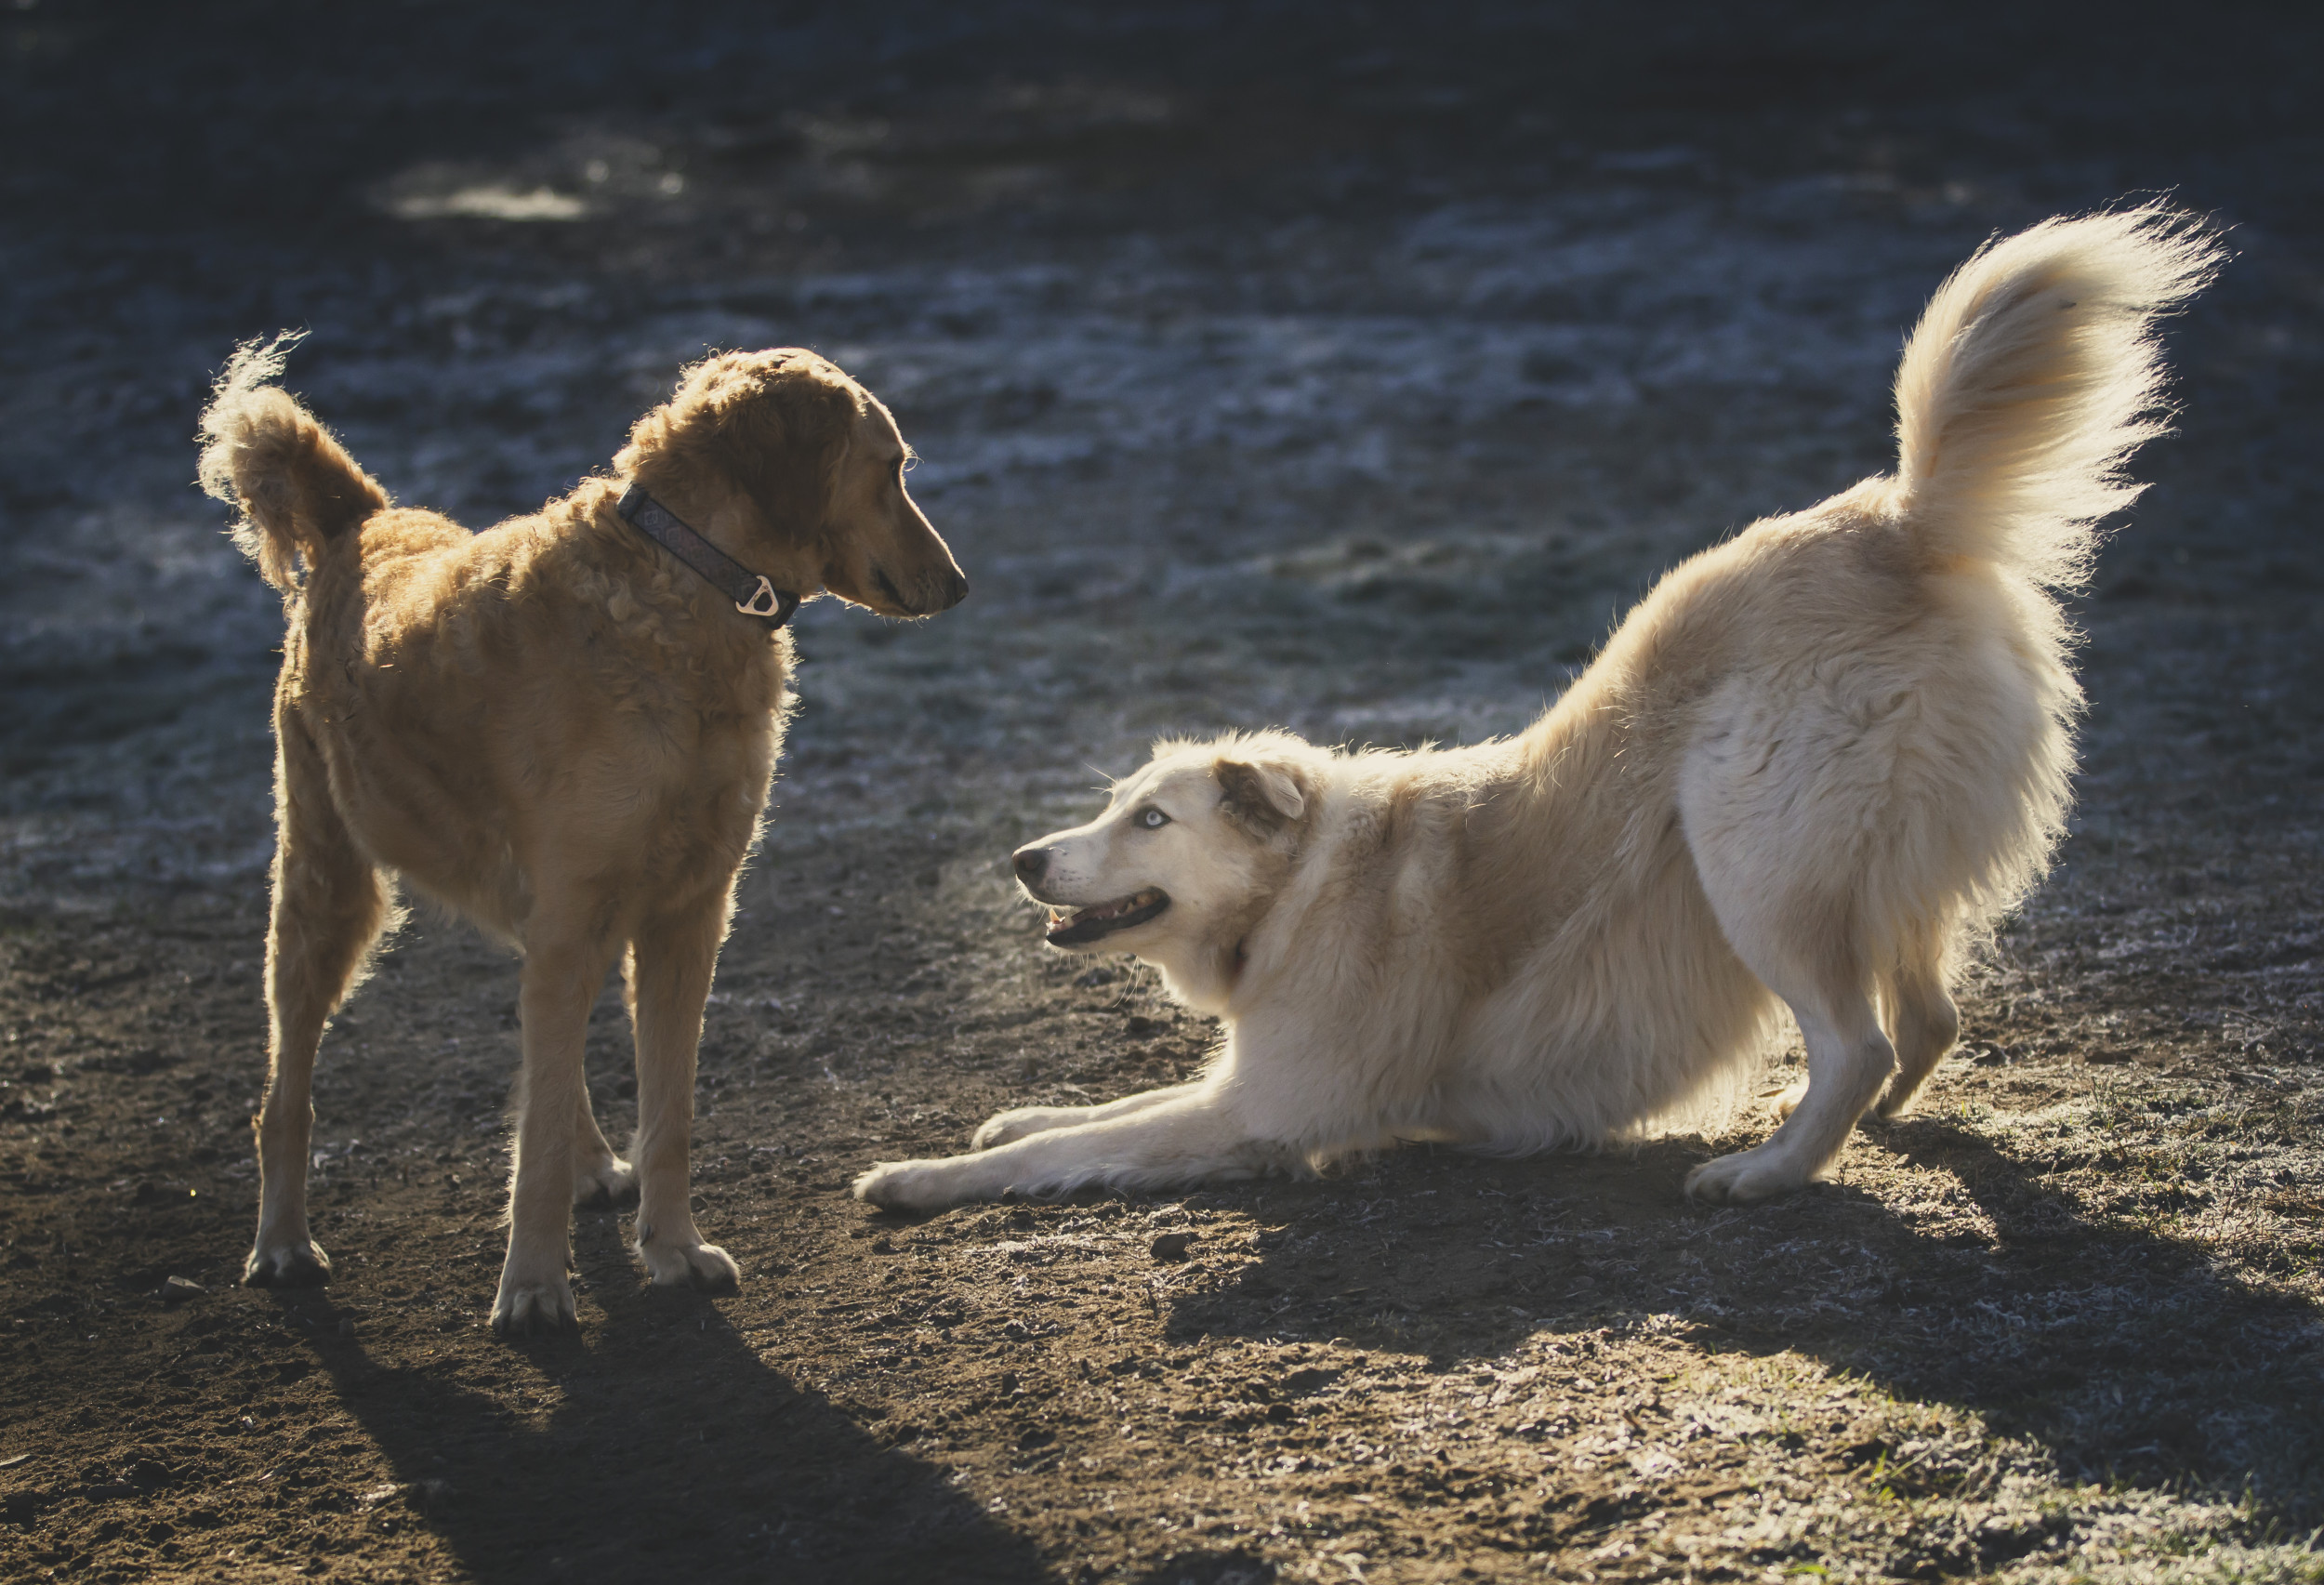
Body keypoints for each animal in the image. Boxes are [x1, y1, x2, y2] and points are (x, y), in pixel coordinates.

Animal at [200, 339, 962, 1329]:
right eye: (894, 468)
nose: (962, 584)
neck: (685, 583)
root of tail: (361, 520)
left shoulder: (685, 915)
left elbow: (665, 1112)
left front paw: (671, 1248)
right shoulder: (579, 914)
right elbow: (538, 1139)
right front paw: (531, 1286)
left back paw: (597, 1161)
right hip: (327, 888)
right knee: (287, 1093)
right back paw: (282, 1241)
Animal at [855, 201, 2212, 1209]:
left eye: (1153, 821)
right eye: (1113, 807)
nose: (1024, 860)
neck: (1302, 886)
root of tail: (1896, 517)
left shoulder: (1267, 1110)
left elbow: (1080, 1146)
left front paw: (910, 1177)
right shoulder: (1241, 1084)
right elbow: (1091, 1109)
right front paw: (1003, 1118)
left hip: (1752, 857)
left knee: (1861, 1036)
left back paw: (1769, 1170)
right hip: (1871, 868)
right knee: (1925, 1016)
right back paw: (1847, 1130)